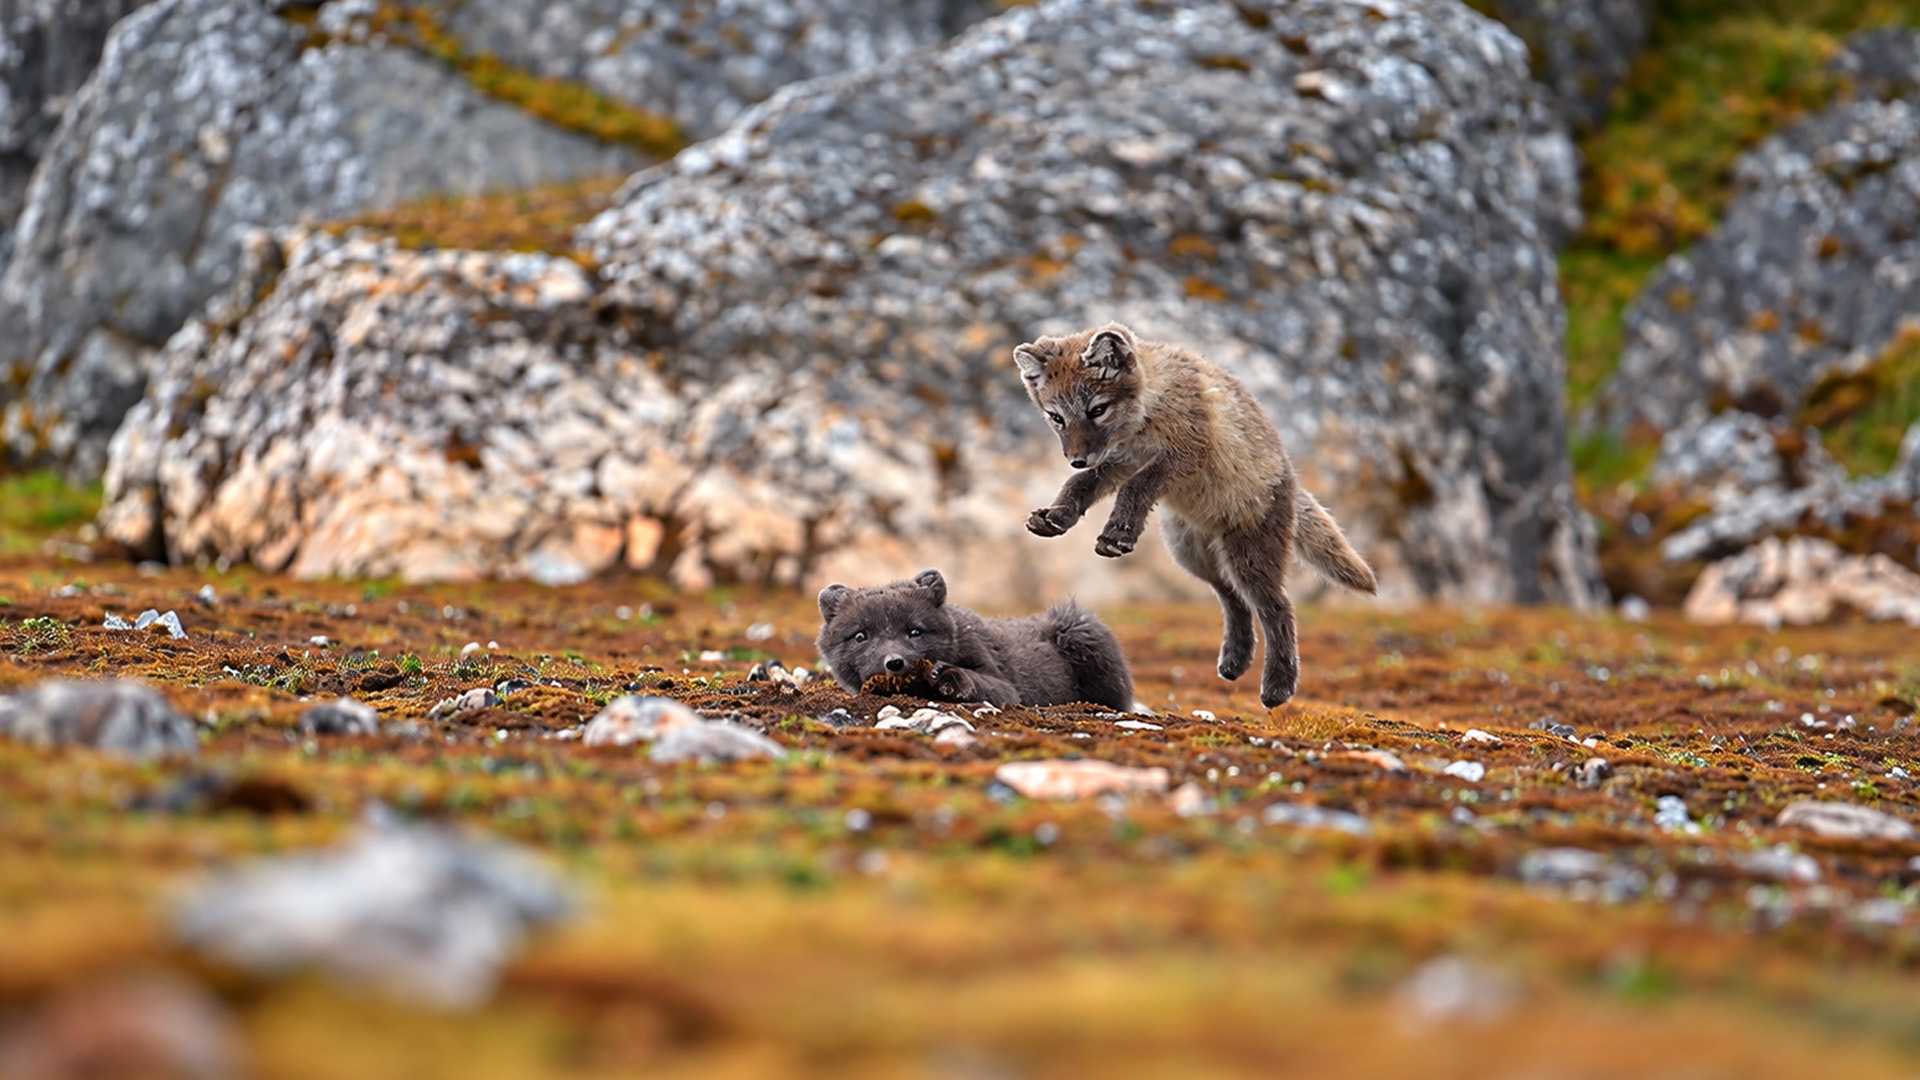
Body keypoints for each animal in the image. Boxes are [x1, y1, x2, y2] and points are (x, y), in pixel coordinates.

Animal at [815, 568, 1135, 711]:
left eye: (915, 631)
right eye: (860, 636)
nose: (894, 663)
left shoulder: (1003, 681)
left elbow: (991, 685)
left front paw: (948, 676)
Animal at [1012, 322, 1377, 708]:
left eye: (1096, 410)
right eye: (1057, 418)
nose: (1076, 458)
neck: (1151, 407)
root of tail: (1291, 480)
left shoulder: (1184, 454)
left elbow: (1135, 487)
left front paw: (1117, 532)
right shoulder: (1124, 459)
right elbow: (1081, 484)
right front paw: (1057, 516)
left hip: (1248, 561)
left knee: (1278, 608)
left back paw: (1278, 686)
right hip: (1192, 558)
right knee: (1232, 599)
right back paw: (1235, 661)